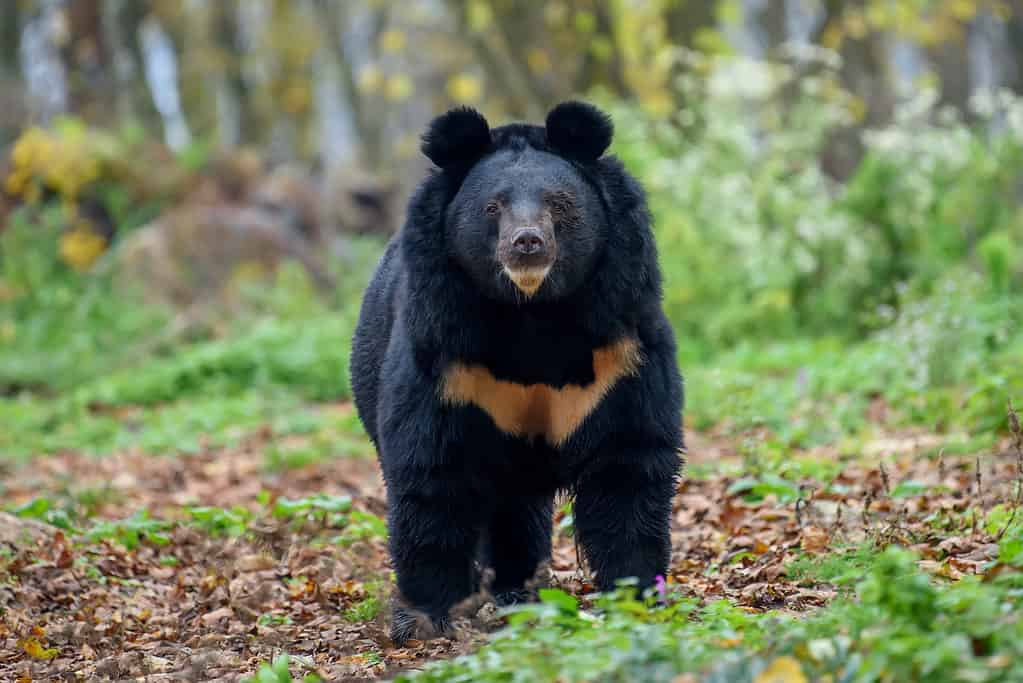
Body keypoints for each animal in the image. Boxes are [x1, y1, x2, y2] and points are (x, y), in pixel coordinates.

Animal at [353, 101, 687, 646]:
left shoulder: (620, 343)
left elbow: (628, 464)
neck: (532, 313)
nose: (527, 243)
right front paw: (427, 617)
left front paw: (637, 593)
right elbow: (433, 472)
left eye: (560, 204)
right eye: (493, 208)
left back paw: (520, 592)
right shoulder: (446, 353)